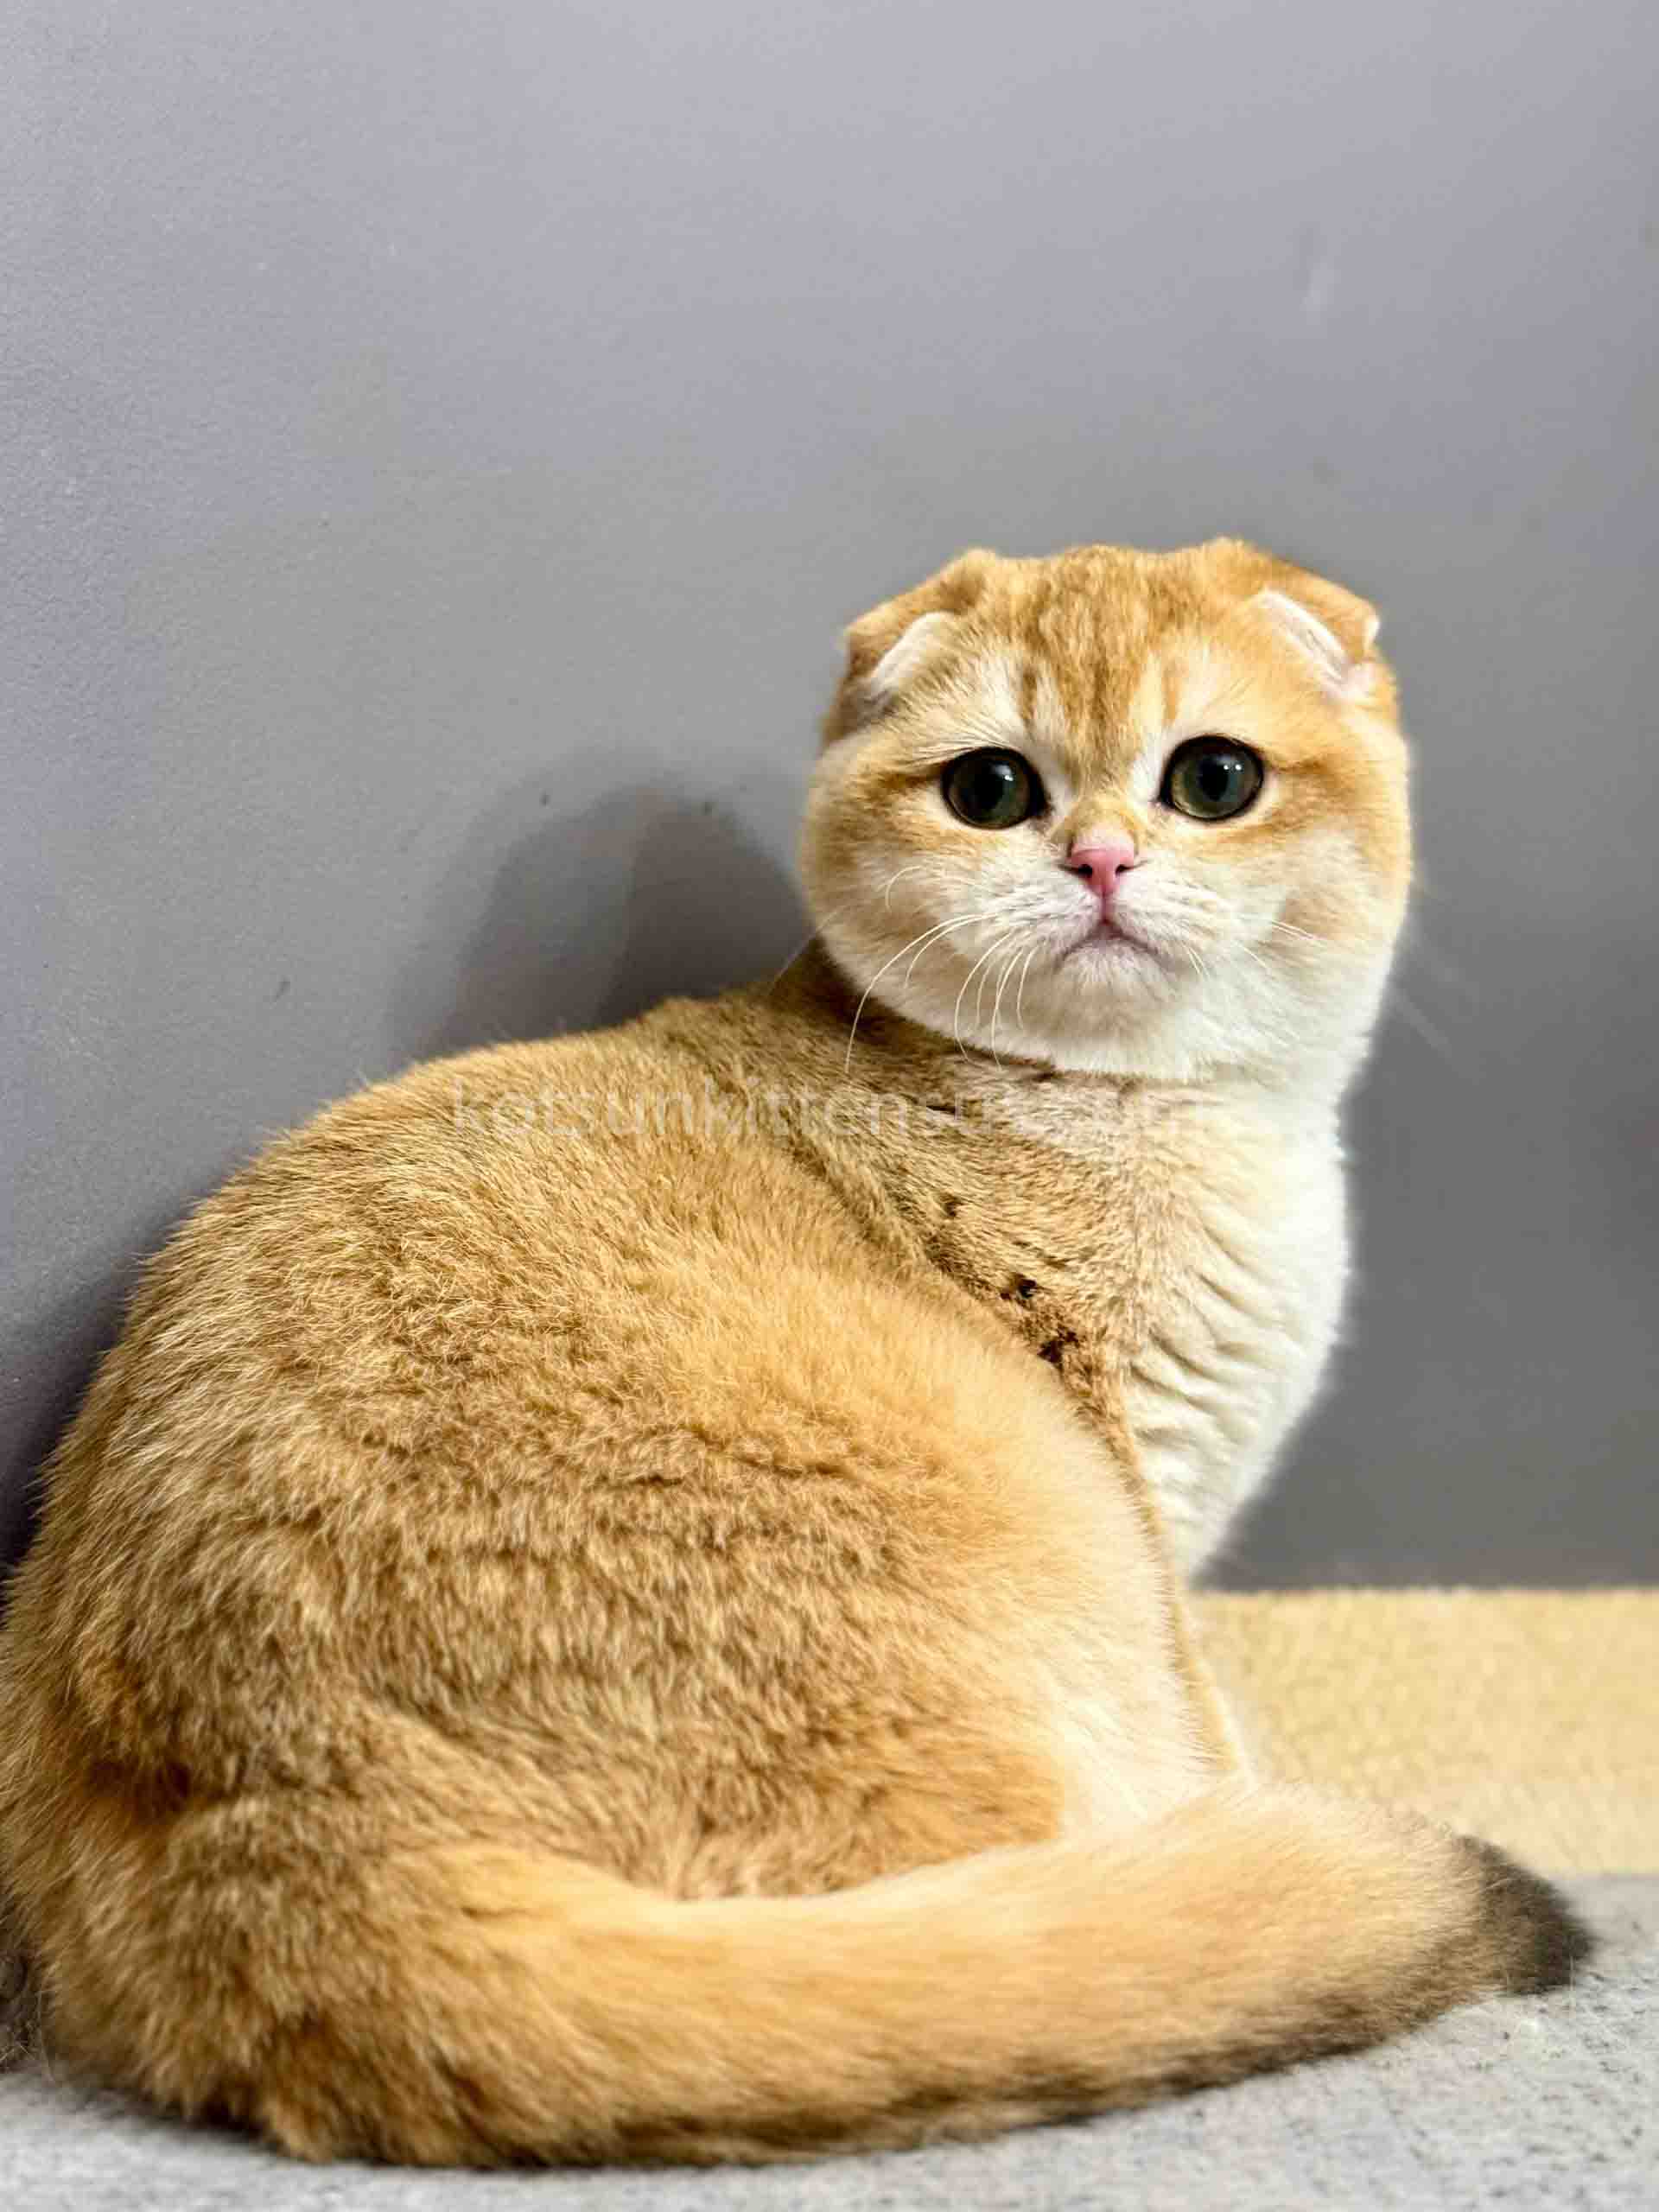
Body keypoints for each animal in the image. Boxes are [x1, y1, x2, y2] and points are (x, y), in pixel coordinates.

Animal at [0, 539, 1583, 2164]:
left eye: (1213, 779)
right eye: (993, 790)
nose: (1099, 859)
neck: (1122, 1109)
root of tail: (305, 1853)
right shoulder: (1146, 1506)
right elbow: (1213, 1725)